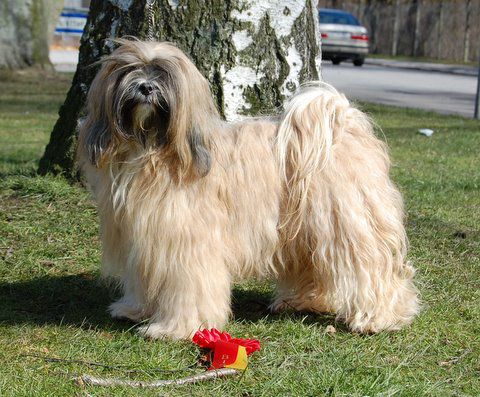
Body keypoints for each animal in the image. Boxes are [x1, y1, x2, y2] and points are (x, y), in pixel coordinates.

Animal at [77, 39, 418, 338]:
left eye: (162, 73)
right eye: (130, 70)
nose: (146, 86)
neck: (152, 151)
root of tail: (344, 124)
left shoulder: (188, 244)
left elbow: (189, 286)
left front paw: (176, 328)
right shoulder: (143, 239)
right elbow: (143, 277)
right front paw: (135, 309)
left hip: (348, 224)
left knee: (371, 268)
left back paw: (379, 318)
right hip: (305, 230)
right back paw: (303, 301)